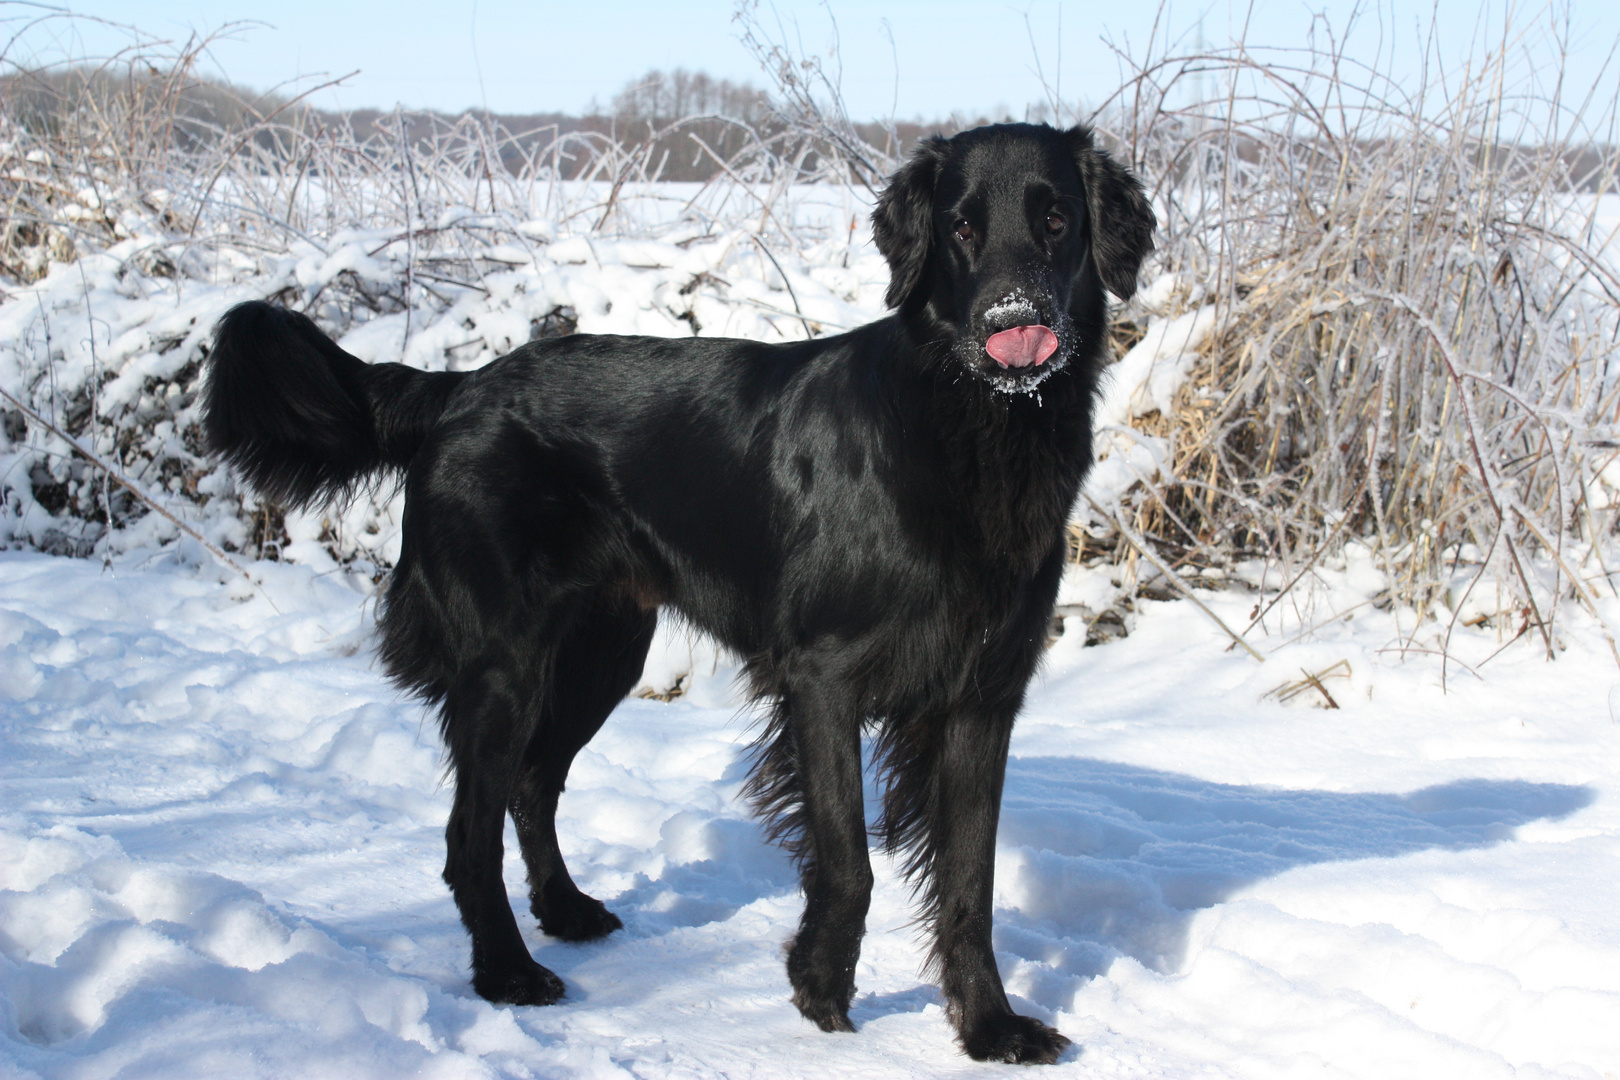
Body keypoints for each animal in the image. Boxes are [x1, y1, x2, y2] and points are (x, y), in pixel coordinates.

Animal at [205, 122, 1153, 1062]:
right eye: (961, 228)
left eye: (1057, 219)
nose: (1014, 322)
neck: (971, 426)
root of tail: (459, 388)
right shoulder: (823, 676)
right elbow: (850, 860)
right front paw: (819, 990)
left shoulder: (982, 695)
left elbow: (969, 883)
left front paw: (991, 1027)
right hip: (505, 663)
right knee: (468, 832)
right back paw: (509, 973)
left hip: (602, 651)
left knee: (531, 785)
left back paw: (566, 912)